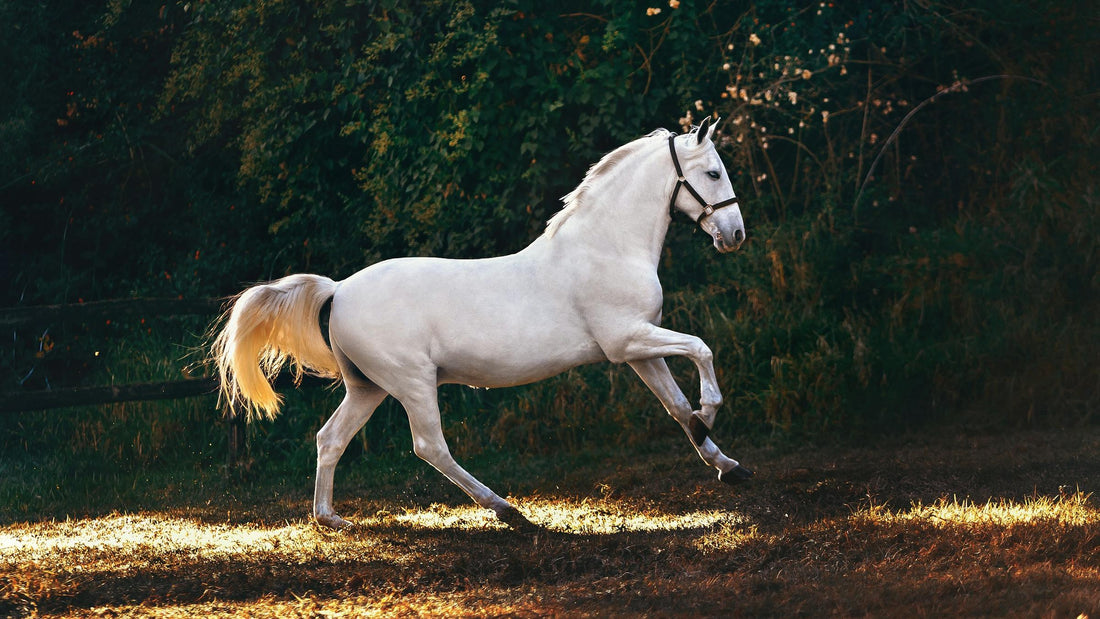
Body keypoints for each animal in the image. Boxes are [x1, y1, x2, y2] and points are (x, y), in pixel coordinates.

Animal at [211, 116, 753, 530]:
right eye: (712, 172)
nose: (735, 235)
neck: (606, 248)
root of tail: (339, 289)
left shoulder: (640, 350)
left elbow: (677, 407)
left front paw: (726, 464)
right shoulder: (627, 341)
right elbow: (701, 349)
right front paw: (711, 412)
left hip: (368, 387)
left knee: (331, 438)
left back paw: (330, 519)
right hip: (411, 382)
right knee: (430, 446)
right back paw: (508, 511)